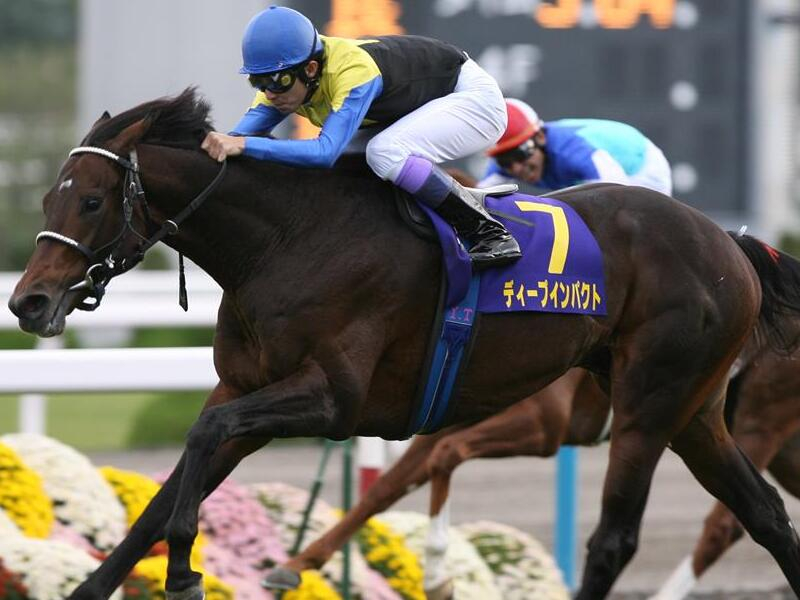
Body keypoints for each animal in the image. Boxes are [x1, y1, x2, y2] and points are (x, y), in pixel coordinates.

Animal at [8, 88, 800, 600]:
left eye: (90, 200)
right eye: (47, 196)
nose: (27, 303)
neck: (287, 240)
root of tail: (726, 240)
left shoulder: (333, 399)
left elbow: (206, 441)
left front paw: (184, 574)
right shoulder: (247, 388)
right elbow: (169, 489)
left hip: (649, 400)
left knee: (616, 539)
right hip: (696, 411)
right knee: (763, 515)